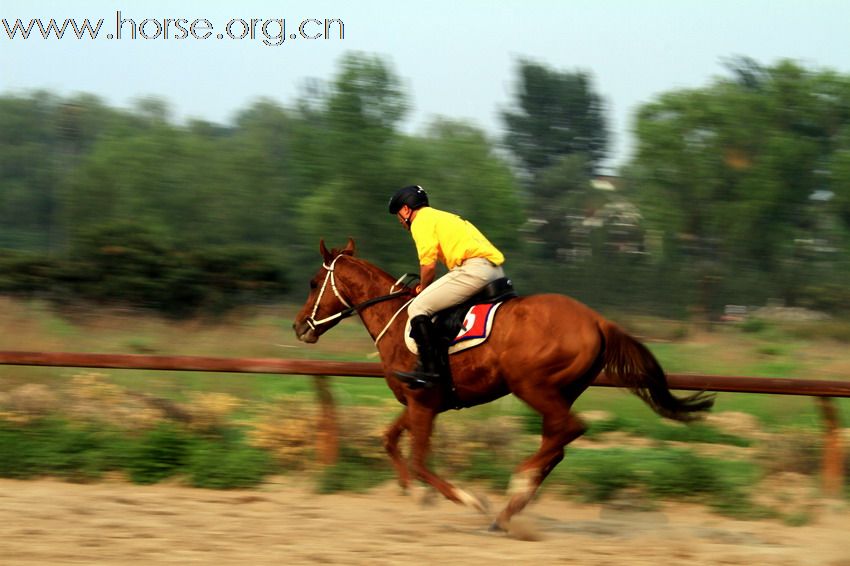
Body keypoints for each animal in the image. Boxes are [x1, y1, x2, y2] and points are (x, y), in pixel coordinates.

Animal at [294, 240, 712, 532]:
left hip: (532, 386)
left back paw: (517, 485)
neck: (397, 320)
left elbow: (419, 461)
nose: (299, 327)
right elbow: (389, 440)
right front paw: (412, 491)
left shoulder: (424, 403)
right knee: (557, 442)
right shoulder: (419, 404)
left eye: (314, 283)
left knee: (568, 430)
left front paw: (467, 499)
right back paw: (511, 507)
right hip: (559, 391)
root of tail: (597, 320)